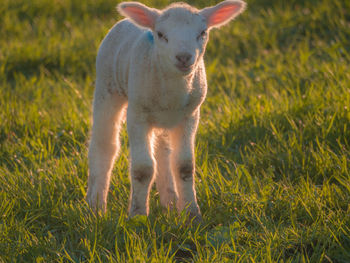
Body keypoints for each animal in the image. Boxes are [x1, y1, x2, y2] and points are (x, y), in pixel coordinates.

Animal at [87, 0, 246, 221]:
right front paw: (137, 216)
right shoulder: (137, 115)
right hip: (107, 87)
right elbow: (142, 169)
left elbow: (184, 166)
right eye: (161, 34)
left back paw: (169, 203)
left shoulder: (190, 115)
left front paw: (191, 215)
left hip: (162, 120)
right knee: (104, 146)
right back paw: (95, 207)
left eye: (203, 32)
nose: (184, 57)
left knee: (163, 152)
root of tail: (124, 22)